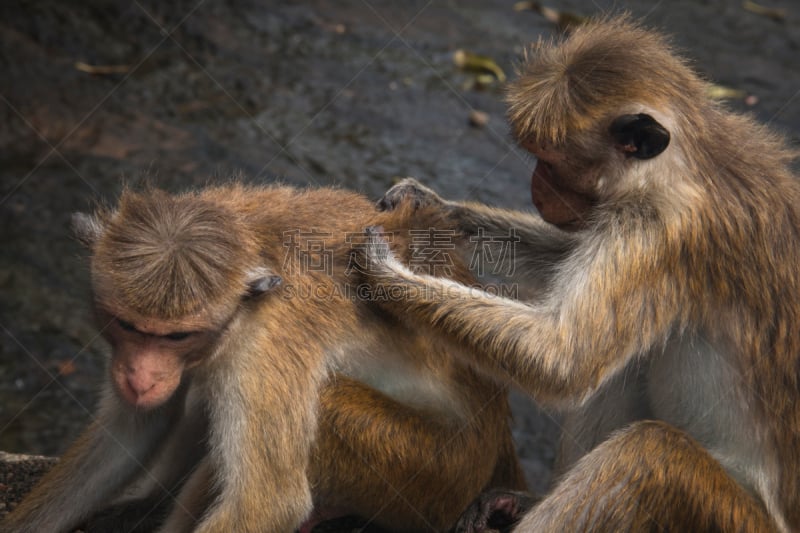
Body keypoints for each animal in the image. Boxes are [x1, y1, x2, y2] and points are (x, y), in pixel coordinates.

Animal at [0, 184, 528, 532]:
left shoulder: (265, 345)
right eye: (129, 326)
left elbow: (266, 505)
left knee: (323, 411)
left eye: (178, 336)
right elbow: (131, 431)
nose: (140, 376)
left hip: (436, 474)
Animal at [368, 16, 800, 532]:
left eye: (550, 162)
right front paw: (432, 212)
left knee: (645, 451)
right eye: (537, 157)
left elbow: (560, 360)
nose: (535, 186)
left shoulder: (658, 228)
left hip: (728, 516)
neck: (682, 165)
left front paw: (382, 274)